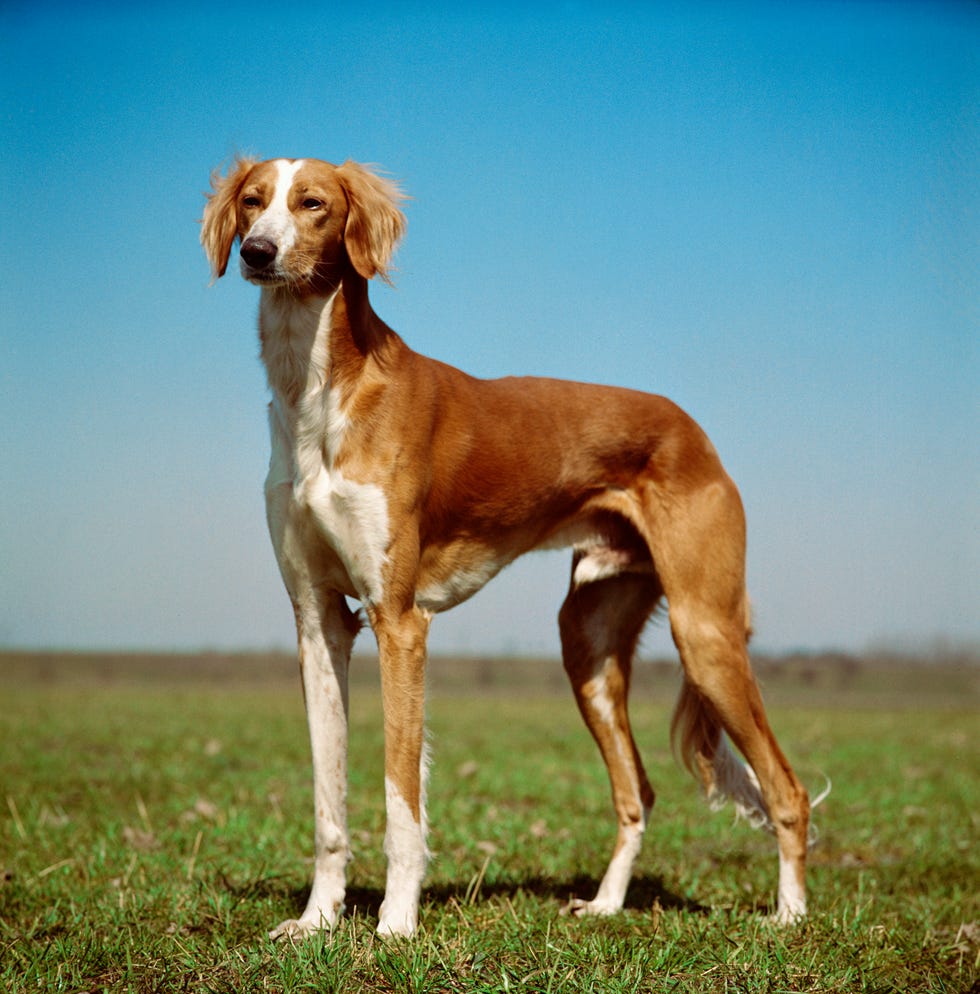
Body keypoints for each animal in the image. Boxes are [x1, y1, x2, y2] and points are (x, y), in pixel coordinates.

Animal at [199, 157, 812, 936]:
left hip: (705, 633)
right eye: (253, 202)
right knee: (636, 791)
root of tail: (694, 429)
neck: (319, 393)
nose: (258, 253)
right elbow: (326, 803)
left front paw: (395, 924)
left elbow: (402, 799)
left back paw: (788, 916)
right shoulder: (320, 623)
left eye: (312, 204)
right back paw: (606, 904)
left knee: (786, 789)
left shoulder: (400, 621)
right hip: (587, 645)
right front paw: (316, 920)